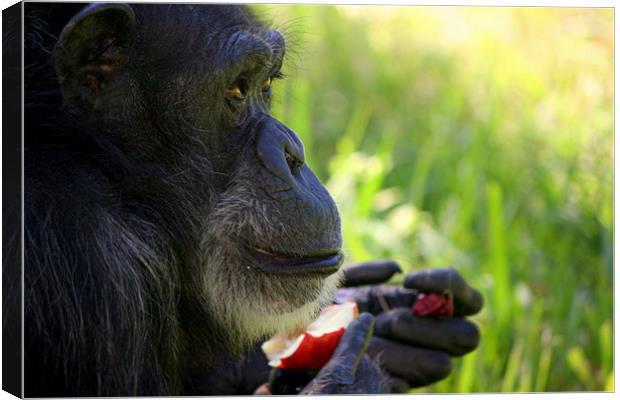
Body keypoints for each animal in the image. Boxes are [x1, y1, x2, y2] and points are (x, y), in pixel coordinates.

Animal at [21, 2, 482, 396]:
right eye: (236, 92)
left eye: (265, 85)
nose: (293, 152)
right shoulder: (92, 262)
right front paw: (352, 375)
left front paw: (378, 307)